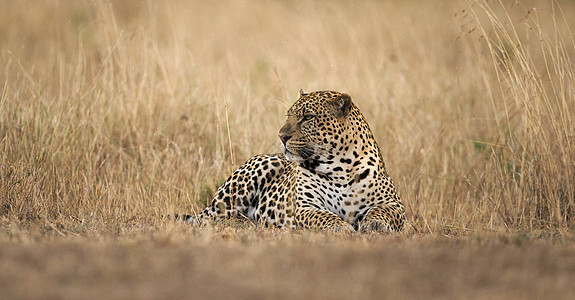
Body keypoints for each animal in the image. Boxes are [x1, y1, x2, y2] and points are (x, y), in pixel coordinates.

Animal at [183, 89, 404, 232]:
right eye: (288, 115)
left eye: (308, 117)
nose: (281, 136)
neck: (341, 168)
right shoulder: (305, 207)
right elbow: (323, 216)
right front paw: (341, 227)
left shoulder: (393, 203)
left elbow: (383, 212)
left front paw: (375, 223)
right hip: (243, 183)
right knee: (210, 219)